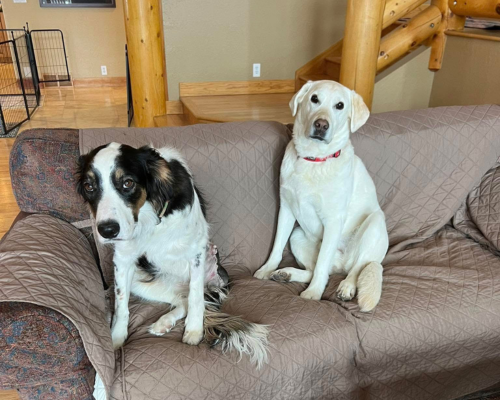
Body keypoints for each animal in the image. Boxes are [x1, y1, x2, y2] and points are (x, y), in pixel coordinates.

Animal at [76, 142, 268, 368]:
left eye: (128, 183)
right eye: (89, 186)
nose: (107, 231)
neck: (149, 219)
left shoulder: (195, 250)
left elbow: (195, 297)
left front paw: (194, 331)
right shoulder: (123, 259)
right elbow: (121, 304)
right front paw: (115, 341)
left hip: (215, 279)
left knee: (193, 298)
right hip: (142, 284)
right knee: (180, 300)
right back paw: (163, 322)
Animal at [256, 80, 388, 312]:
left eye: (340, 105)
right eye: (314, 99)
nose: (321, 125)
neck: (314, 160)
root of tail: (341, 264)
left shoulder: (333, 220)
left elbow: (322, 265)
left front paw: (314, 293)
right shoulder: (286, 210)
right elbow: (277, 246)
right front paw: (267, 268)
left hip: (375, 224)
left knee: (355, 268)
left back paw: (346, 287)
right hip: (297, 236)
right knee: (318, 269)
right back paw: (286, 273)